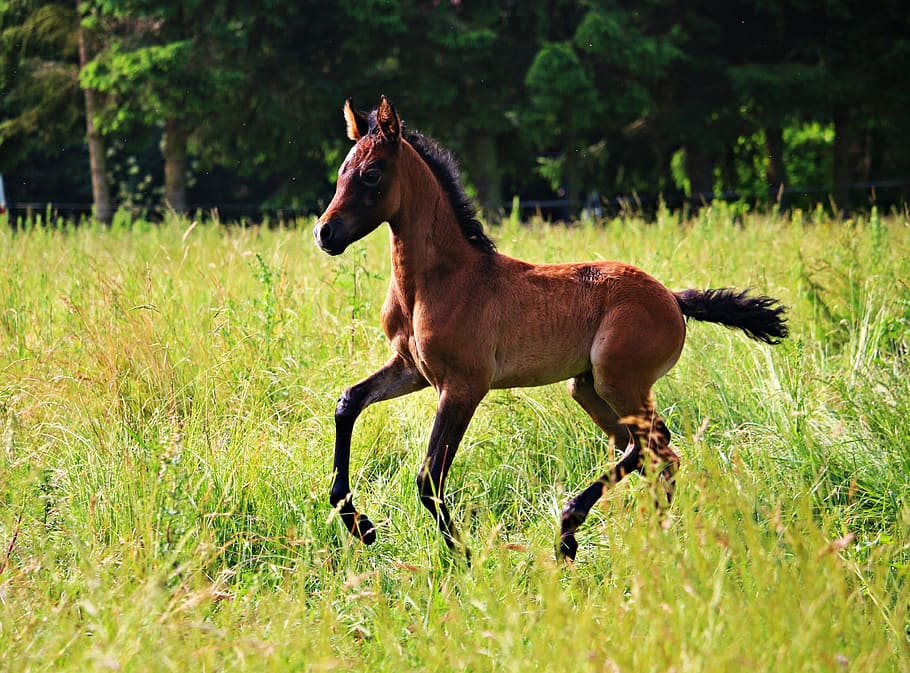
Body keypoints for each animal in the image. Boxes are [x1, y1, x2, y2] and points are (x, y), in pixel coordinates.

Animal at [318, 94, 788, 556]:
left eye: (372, 174)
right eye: (341, 171)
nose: (325, 233)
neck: (441, 279)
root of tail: (672, 298)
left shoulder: (464, 385)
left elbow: (429, 475)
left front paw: (463, 555)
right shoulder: (412, 369)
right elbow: (348, 402)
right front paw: (359, 524)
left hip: (620, 381)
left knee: (650, 443)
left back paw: (569, 528)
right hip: (588, 388)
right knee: (659, 455)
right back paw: (651, 539)